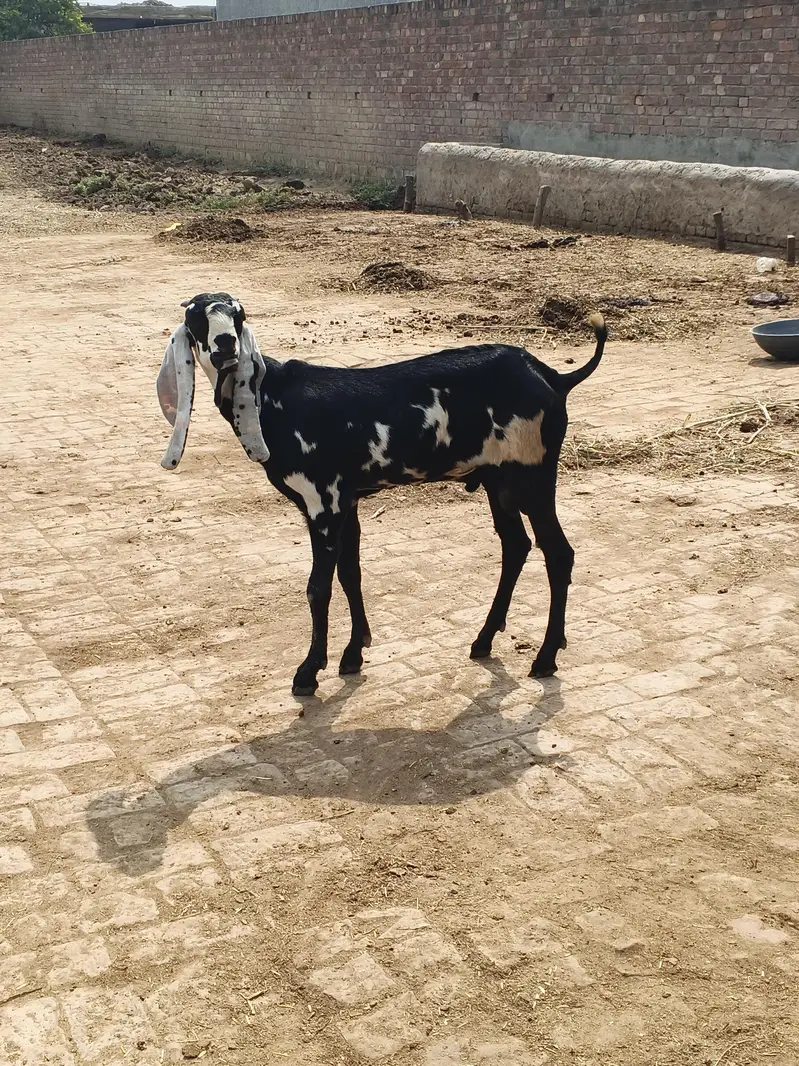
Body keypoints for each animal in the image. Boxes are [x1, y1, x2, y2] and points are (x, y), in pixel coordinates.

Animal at [156, 293, 606, 696]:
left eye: (239, 314)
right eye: (195, 317)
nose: (226, 345)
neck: (274, 400)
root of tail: (552, 377)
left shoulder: (323, 502)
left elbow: (318, 588)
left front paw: (308, 672)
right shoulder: (348, 502)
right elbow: (350, 574)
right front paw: (353, 653)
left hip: (533, 476)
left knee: (558, 553)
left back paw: (545, 657)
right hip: (500, 482)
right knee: (516, 546)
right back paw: (484, 640)